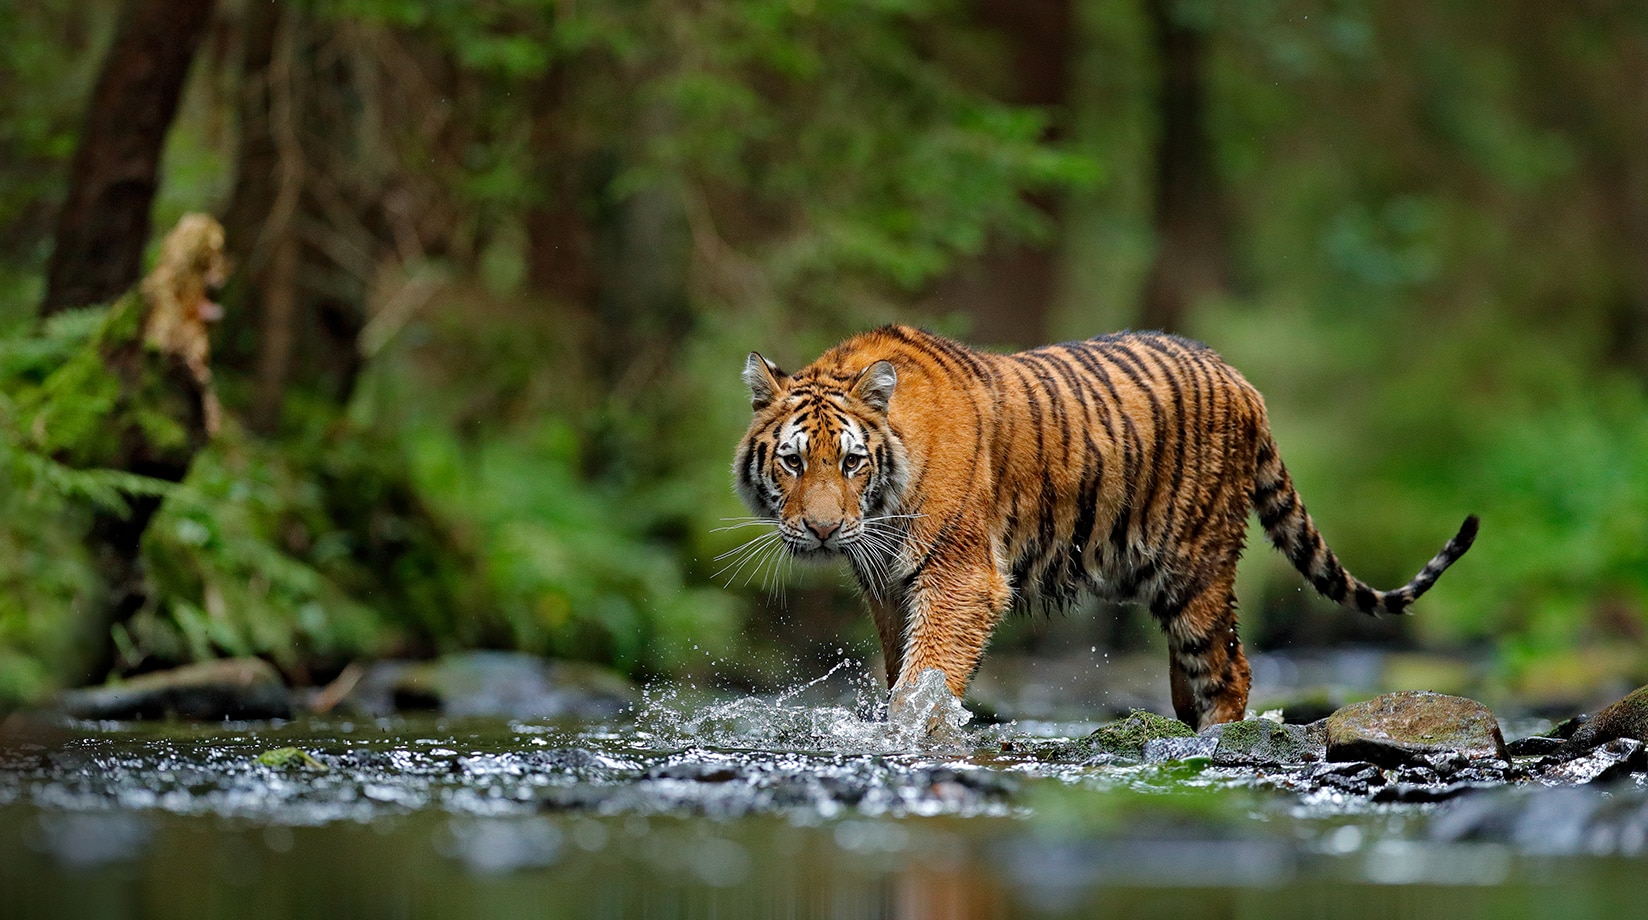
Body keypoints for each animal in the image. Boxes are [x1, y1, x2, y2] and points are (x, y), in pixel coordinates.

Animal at [732, 324, 1478, 729]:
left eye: (852, 462)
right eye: (793, 461)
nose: (822, 531)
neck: (882, 506)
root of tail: (1241, 380)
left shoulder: (960, 578)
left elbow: (926, 677)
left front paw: (912, 736)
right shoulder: (888, 587)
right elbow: (902, 672)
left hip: (1197, 567)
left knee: (1229, 668)